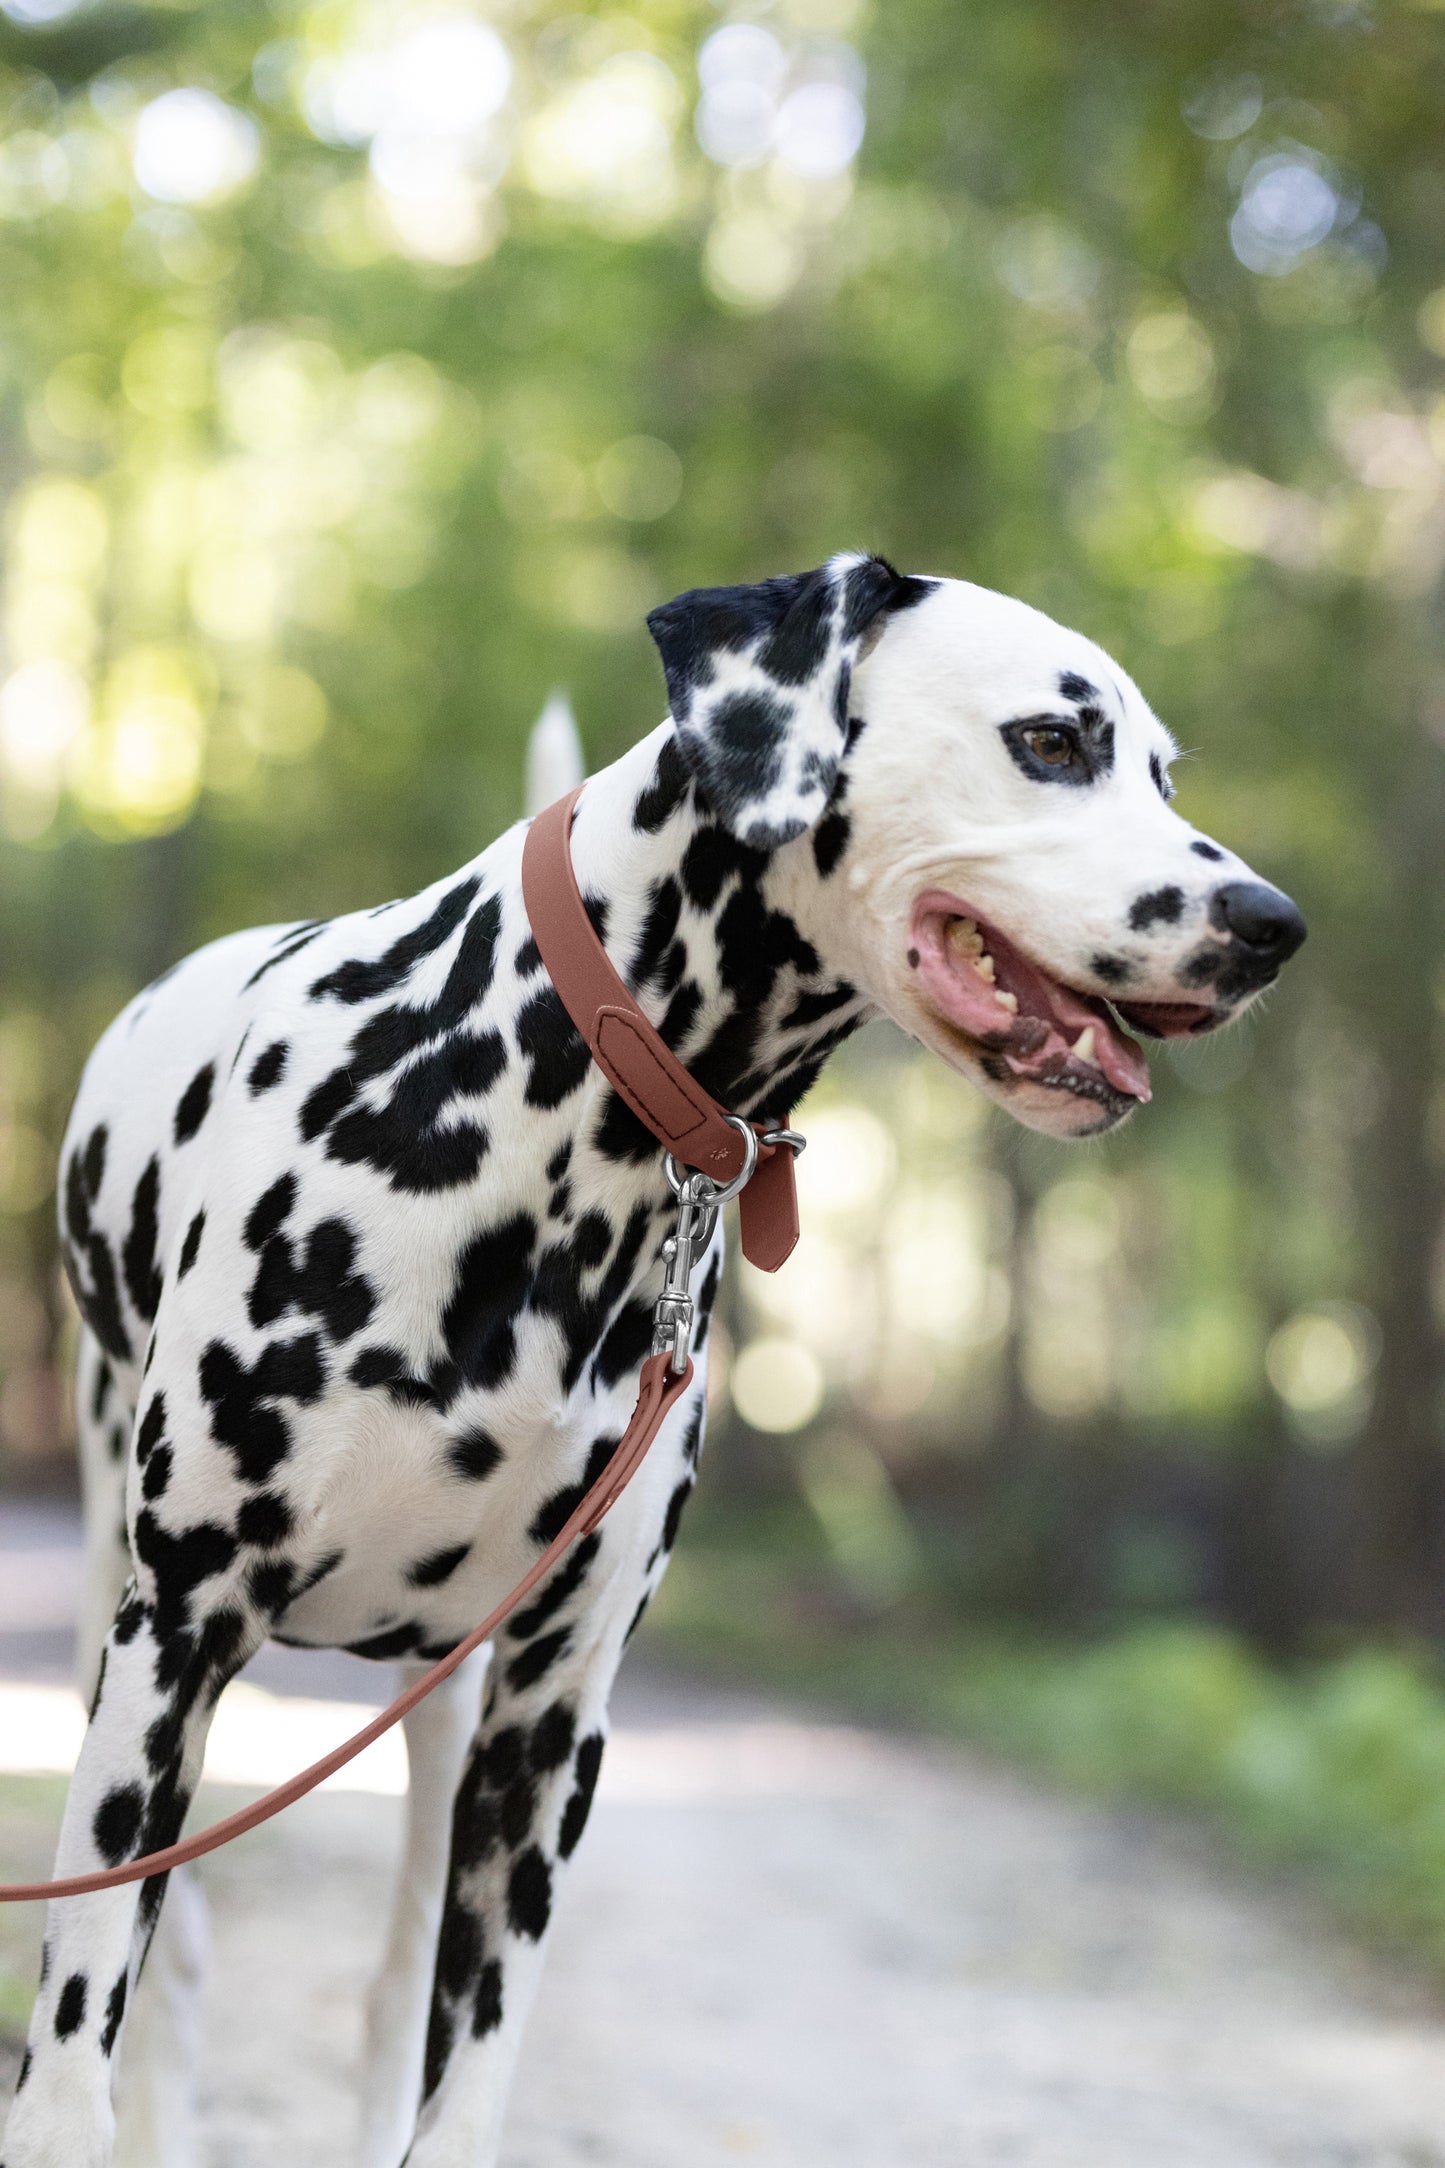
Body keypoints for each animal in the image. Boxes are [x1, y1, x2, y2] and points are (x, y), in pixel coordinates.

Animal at [2, 555, 1308, 2168]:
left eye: (1162, 770)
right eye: (1053, 742)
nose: (1271, 923)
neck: (542, 1126)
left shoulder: (551, 1719)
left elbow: (462, 2084)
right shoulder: (179, 1642)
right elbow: (74, 2056)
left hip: (442, 1708)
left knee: (386, 2000)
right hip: (124, 1634)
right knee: (170, 1987)